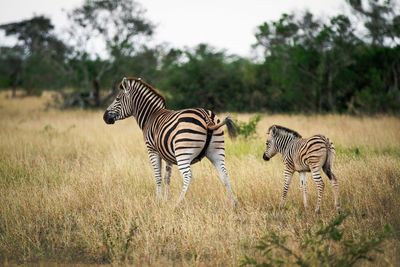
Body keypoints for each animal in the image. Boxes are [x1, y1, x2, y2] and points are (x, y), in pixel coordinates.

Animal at [104, 76, 238, 208]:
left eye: (117, 99)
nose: (104, 117)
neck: (150, 116)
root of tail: (206, 116)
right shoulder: (167, 153)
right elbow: (167, 177)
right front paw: (165, 200)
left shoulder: (152, 150)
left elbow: (158, 176)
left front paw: (158, 201)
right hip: (216, 151)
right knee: (224, 174)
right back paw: (233, 204)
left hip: (183, 152)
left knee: (188, 176)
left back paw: (177, 204)